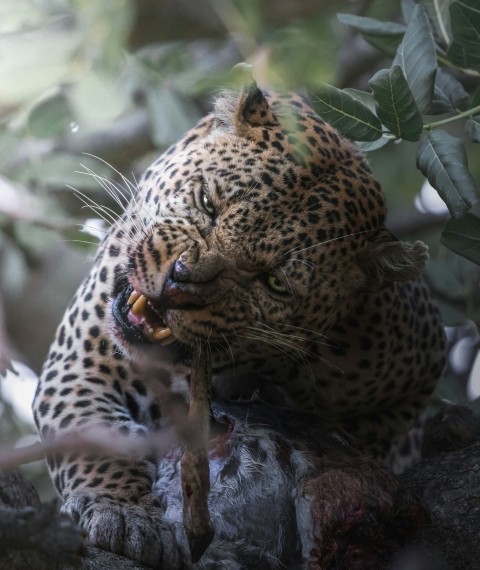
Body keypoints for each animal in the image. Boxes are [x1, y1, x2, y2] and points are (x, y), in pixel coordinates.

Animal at [32, 74, 446, 564]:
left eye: (273, 282)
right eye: (208, 202)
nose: (178, 279)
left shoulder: (418, 362)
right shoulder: (86, 359)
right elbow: (97, 441)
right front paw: (125, 513)